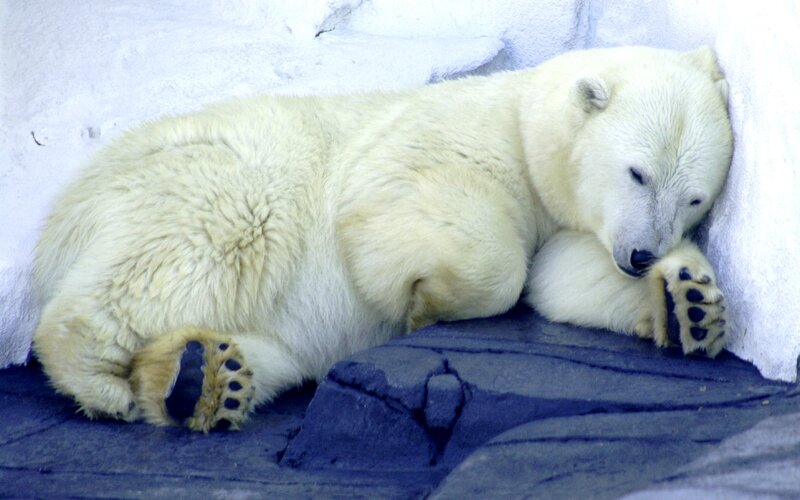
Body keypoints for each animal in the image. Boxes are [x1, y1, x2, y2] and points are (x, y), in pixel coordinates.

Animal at [32, 46, 732, 432]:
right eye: (637, 171)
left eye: (695, 198)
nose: (640, 255)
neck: (523, 125)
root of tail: (64, 213)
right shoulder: (440, 140)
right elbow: (408, 210)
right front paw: (423, 303)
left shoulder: (564, 222)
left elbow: (564, 280)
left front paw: (690, 305)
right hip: (219, 180)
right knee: (195, 246)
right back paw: (101, 381)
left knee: (270, 354)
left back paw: (200, 377)